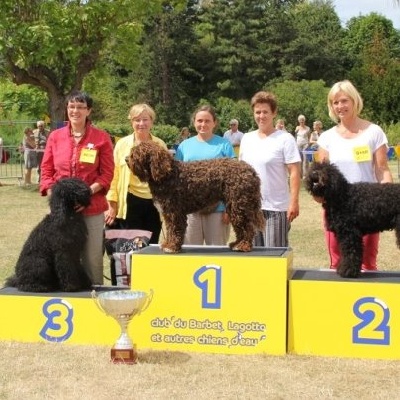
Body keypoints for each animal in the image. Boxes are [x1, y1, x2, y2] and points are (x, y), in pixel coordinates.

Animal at [128, 141, 264, 253]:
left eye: (136, 154)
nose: (125, 159)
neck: (167, 175)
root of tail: (251, 171)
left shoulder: (175, 212)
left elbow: (175, 229)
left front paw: (172, 247)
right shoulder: (168, 213)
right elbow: (170, 229)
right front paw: (168, 244)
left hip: (239, 204)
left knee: (248, 226)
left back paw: (243, 246)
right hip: (235, 206)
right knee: (241, 226)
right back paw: (237, 243)